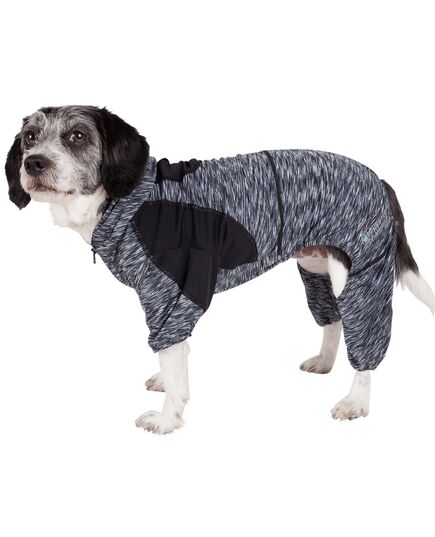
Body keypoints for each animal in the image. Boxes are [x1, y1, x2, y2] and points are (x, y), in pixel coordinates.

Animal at [5, 105, 435, 434]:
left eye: (77, 135)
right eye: (30, 137)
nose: (34, 162)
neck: (130, 200)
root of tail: (378, 178)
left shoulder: (169, 297)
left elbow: (172, 357)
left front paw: (167, 420)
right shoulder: (174, 300)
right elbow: (177, 357)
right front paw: (168, 384)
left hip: (362, 272)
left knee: (365, 336)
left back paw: (355, 400)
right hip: (315, 267)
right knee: (334, 320)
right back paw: (325, 361)